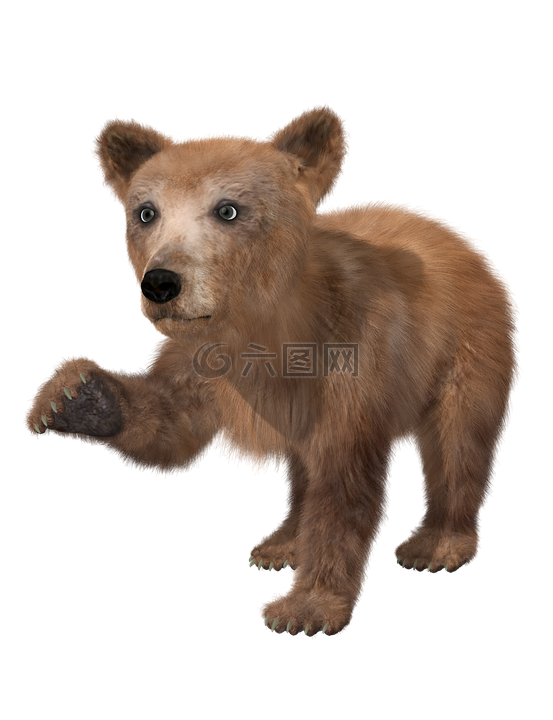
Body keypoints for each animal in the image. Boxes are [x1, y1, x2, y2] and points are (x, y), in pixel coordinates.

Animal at [24, 104, 520, 637]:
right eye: (146, 211)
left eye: (227, 209)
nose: (160, 282)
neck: (263, 329)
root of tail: (455, 232)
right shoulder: (202, 360)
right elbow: (173, 424)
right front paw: (74, 398)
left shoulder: (353, 352)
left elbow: (345, 476)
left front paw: (305, 607)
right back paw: (281, 542)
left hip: (469, 341)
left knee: (459, 437)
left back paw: (437, 543)